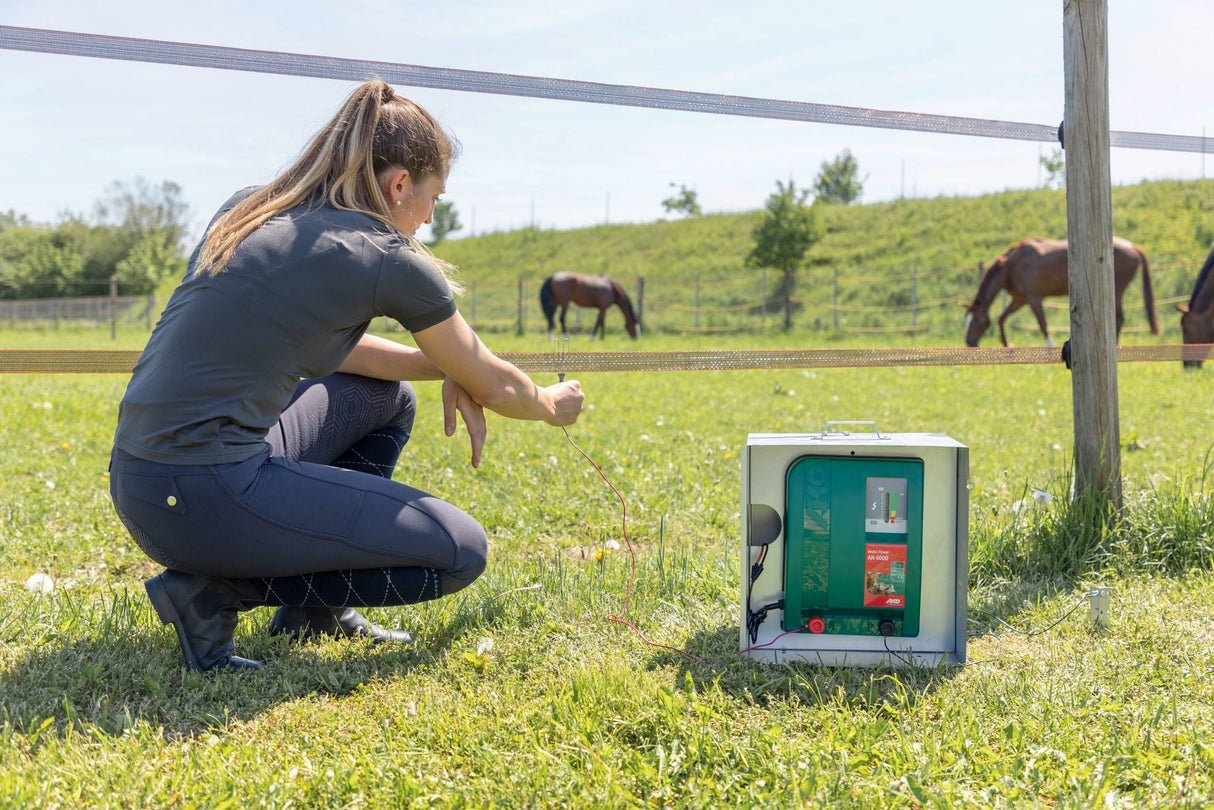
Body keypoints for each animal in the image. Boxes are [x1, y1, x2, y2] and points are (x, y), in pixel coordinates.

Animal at [966, 235, 1155, 347]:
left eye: (975, 321)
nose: (969, 343)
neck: (1011, 265)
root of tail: (1133, 246)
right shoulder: (1019, 299)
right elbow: (1001, 319)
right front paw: (1007, 345)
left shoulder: (1033, 298)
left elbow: (1042, 324)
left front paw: (1050, 346)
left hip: (1115, 292)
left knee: (1119, 318)